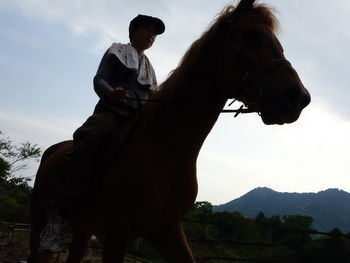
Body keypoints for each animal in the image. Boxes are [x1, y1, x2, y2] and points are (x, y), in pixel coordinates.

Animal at [28, 0, 310, 262]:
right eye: (251, 36)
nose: (298, 98)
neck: (164, 146)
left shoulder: (167, 231)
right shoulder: (117, 233)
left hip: (84, 230)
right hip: (42, 220)